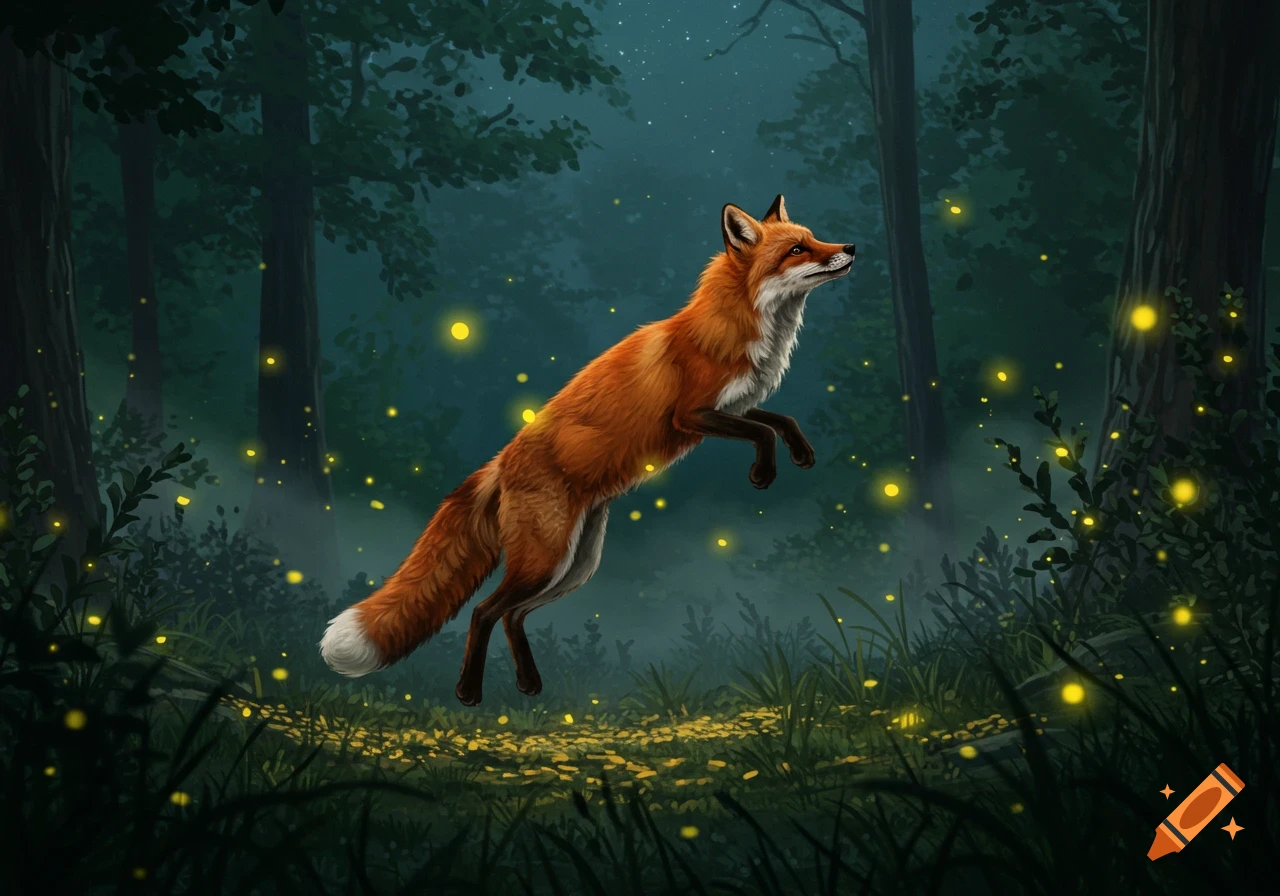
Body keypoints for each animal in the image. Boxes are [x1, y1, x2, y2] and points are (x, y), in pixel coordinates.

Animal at [319, 195, 855, 705]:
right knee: (483, 611)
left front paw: (802, 453)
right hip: (547, 560)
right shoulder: (690, 414)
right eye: (797, 250)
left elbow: (779, 420)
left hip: (574, 565)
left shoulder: (737, 404)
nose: (850, 248)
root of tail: (500, 463)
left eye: (813, 238)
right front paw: (763, 474)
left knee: (512, 616)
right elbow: (761, 432)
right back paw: (469, 693)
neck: (741, 322)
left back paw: (529, 684)